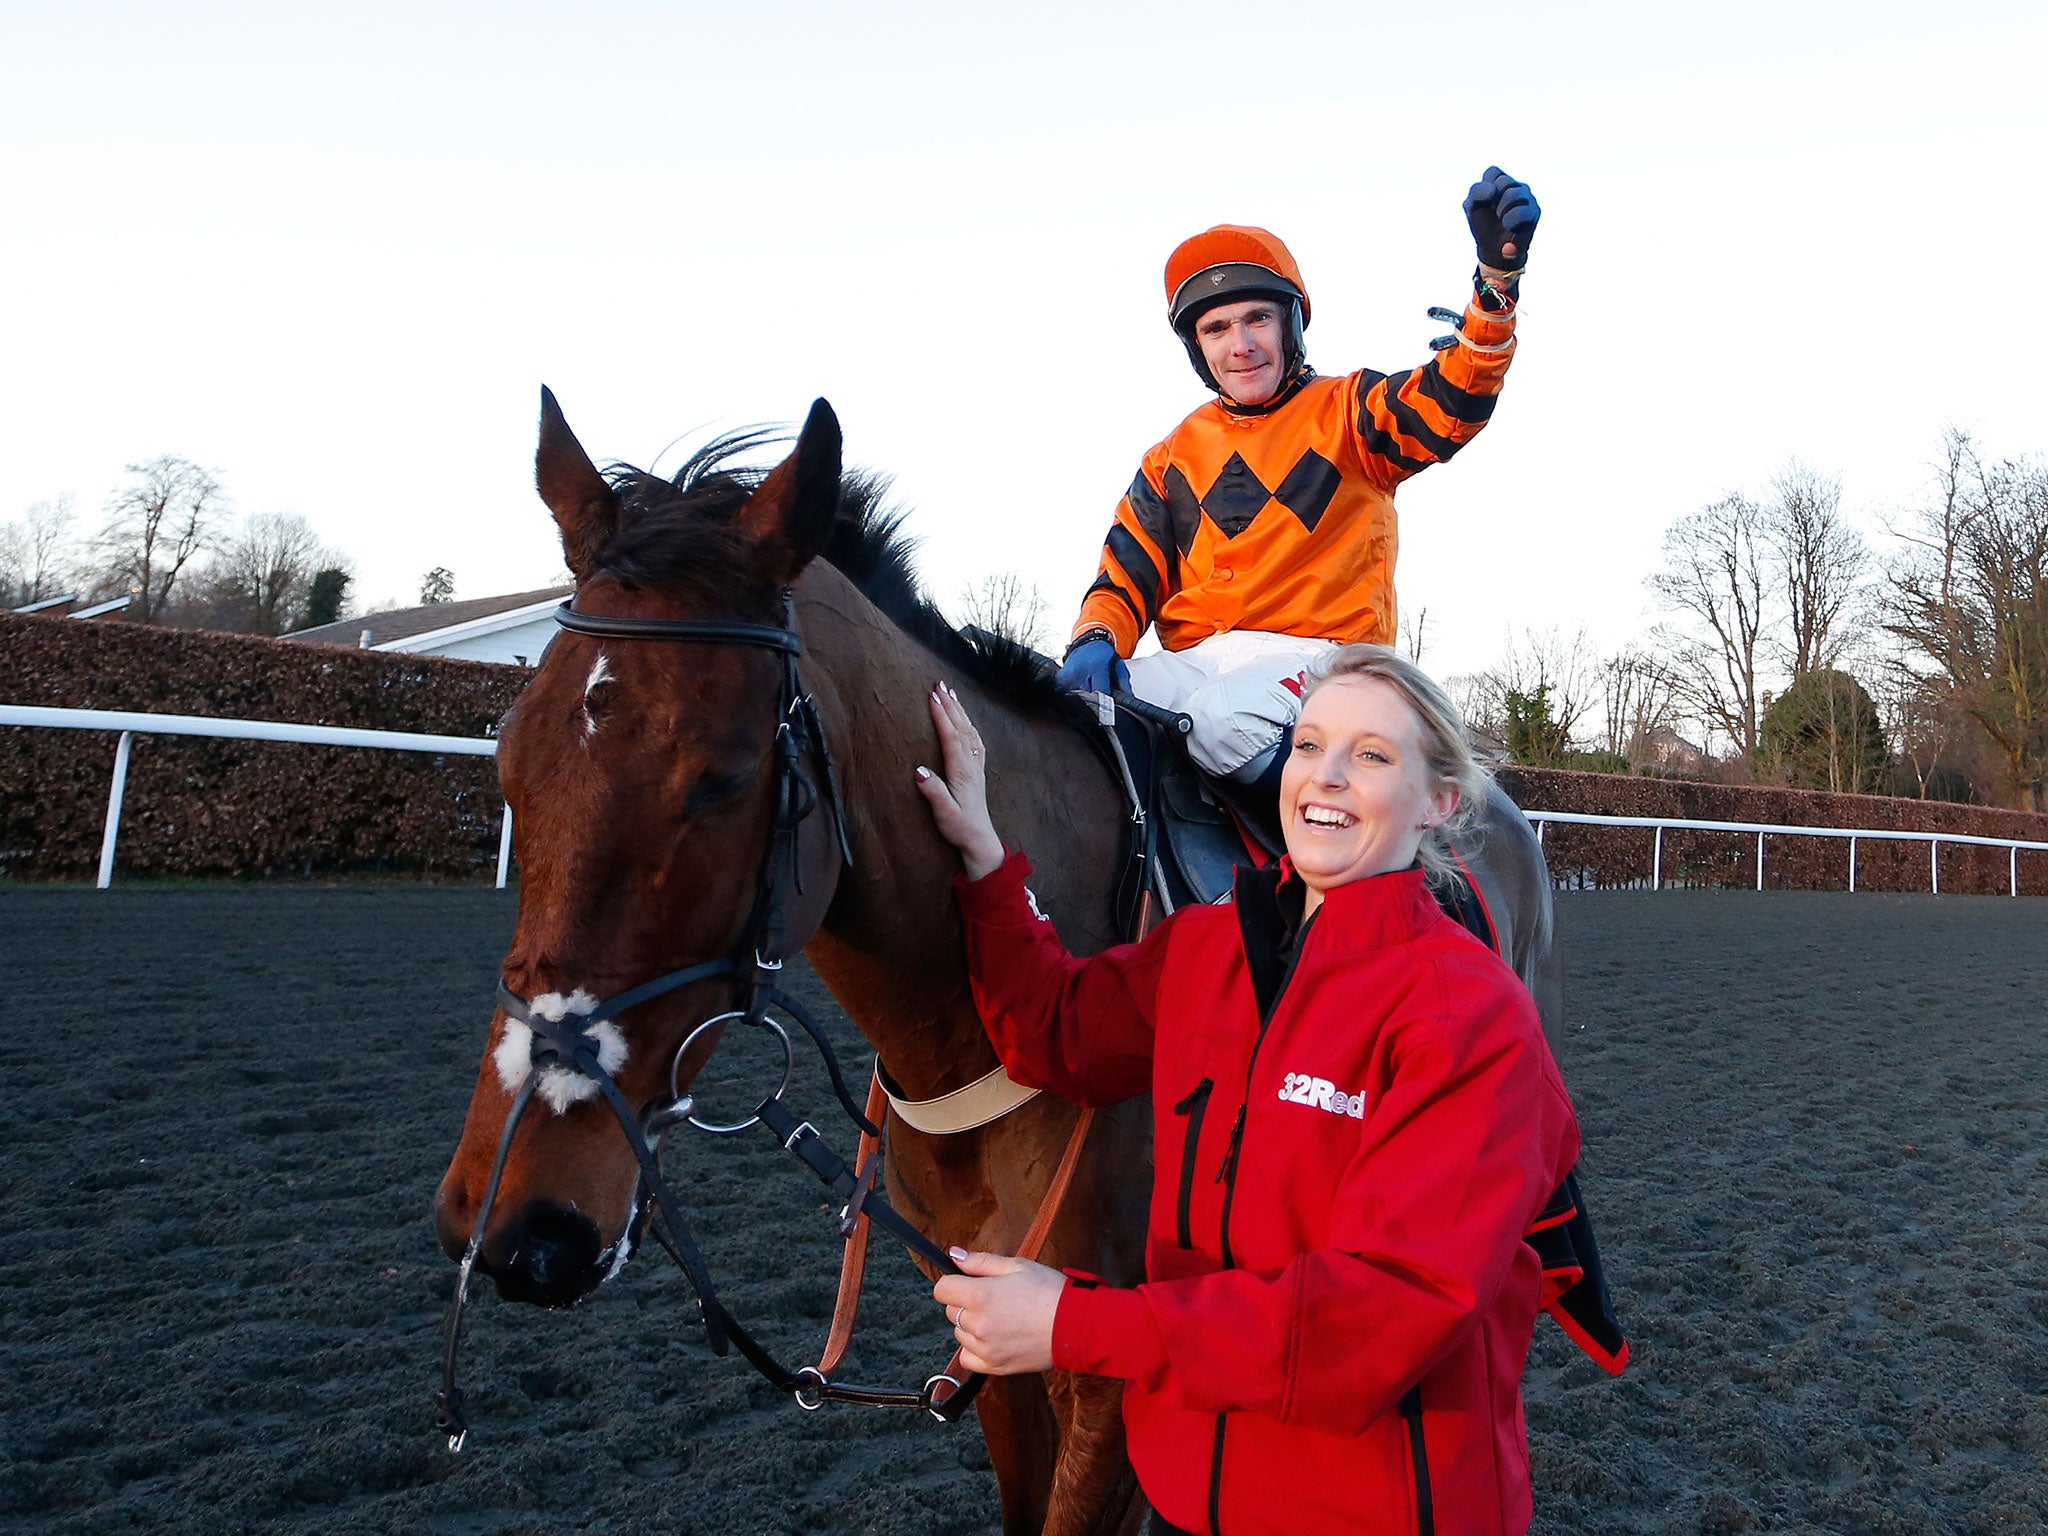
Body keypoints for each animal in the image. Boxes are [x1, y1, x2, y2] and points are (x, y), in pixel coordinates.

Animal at [428, 391, 1548, 1531]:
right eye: (509, 759)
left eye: (723, 777)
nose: (519, 1218)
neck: (968, 1040)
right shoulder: (987, 1325)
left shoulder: (1114, 1364)